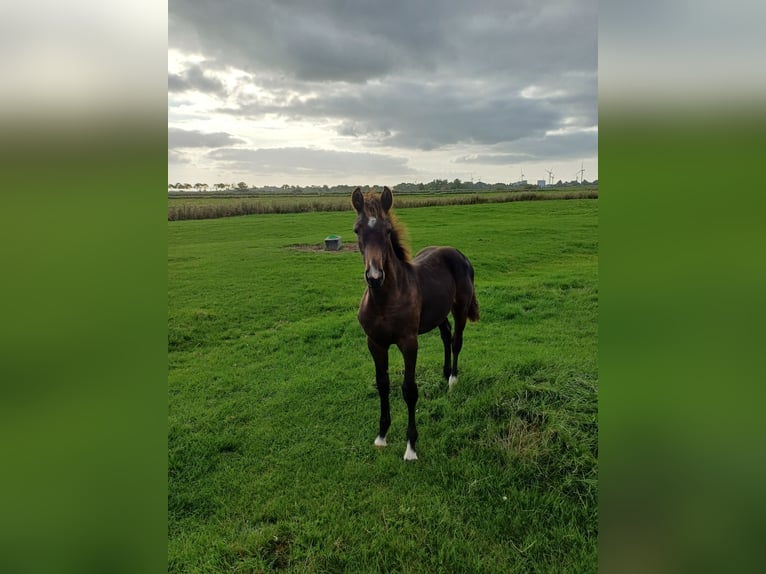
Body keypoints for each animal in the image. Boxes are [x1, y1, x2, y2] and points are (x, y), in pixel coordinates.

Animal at [352, 186, 479, 461]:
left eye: (388, 230)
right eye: (357, 229)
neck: (384, 300)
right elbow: (383, 384)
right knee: (446, 334)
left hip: (460, 308)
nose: (374, 277)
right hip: (438, 312)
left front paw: (410, 446)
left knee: (457, 341)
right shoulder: (375, 343)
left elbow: (409, 389)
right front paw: (382, 435)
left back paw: (452, 379)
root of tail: (458, 253)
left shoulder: (409, 343)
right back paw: (444, 373)